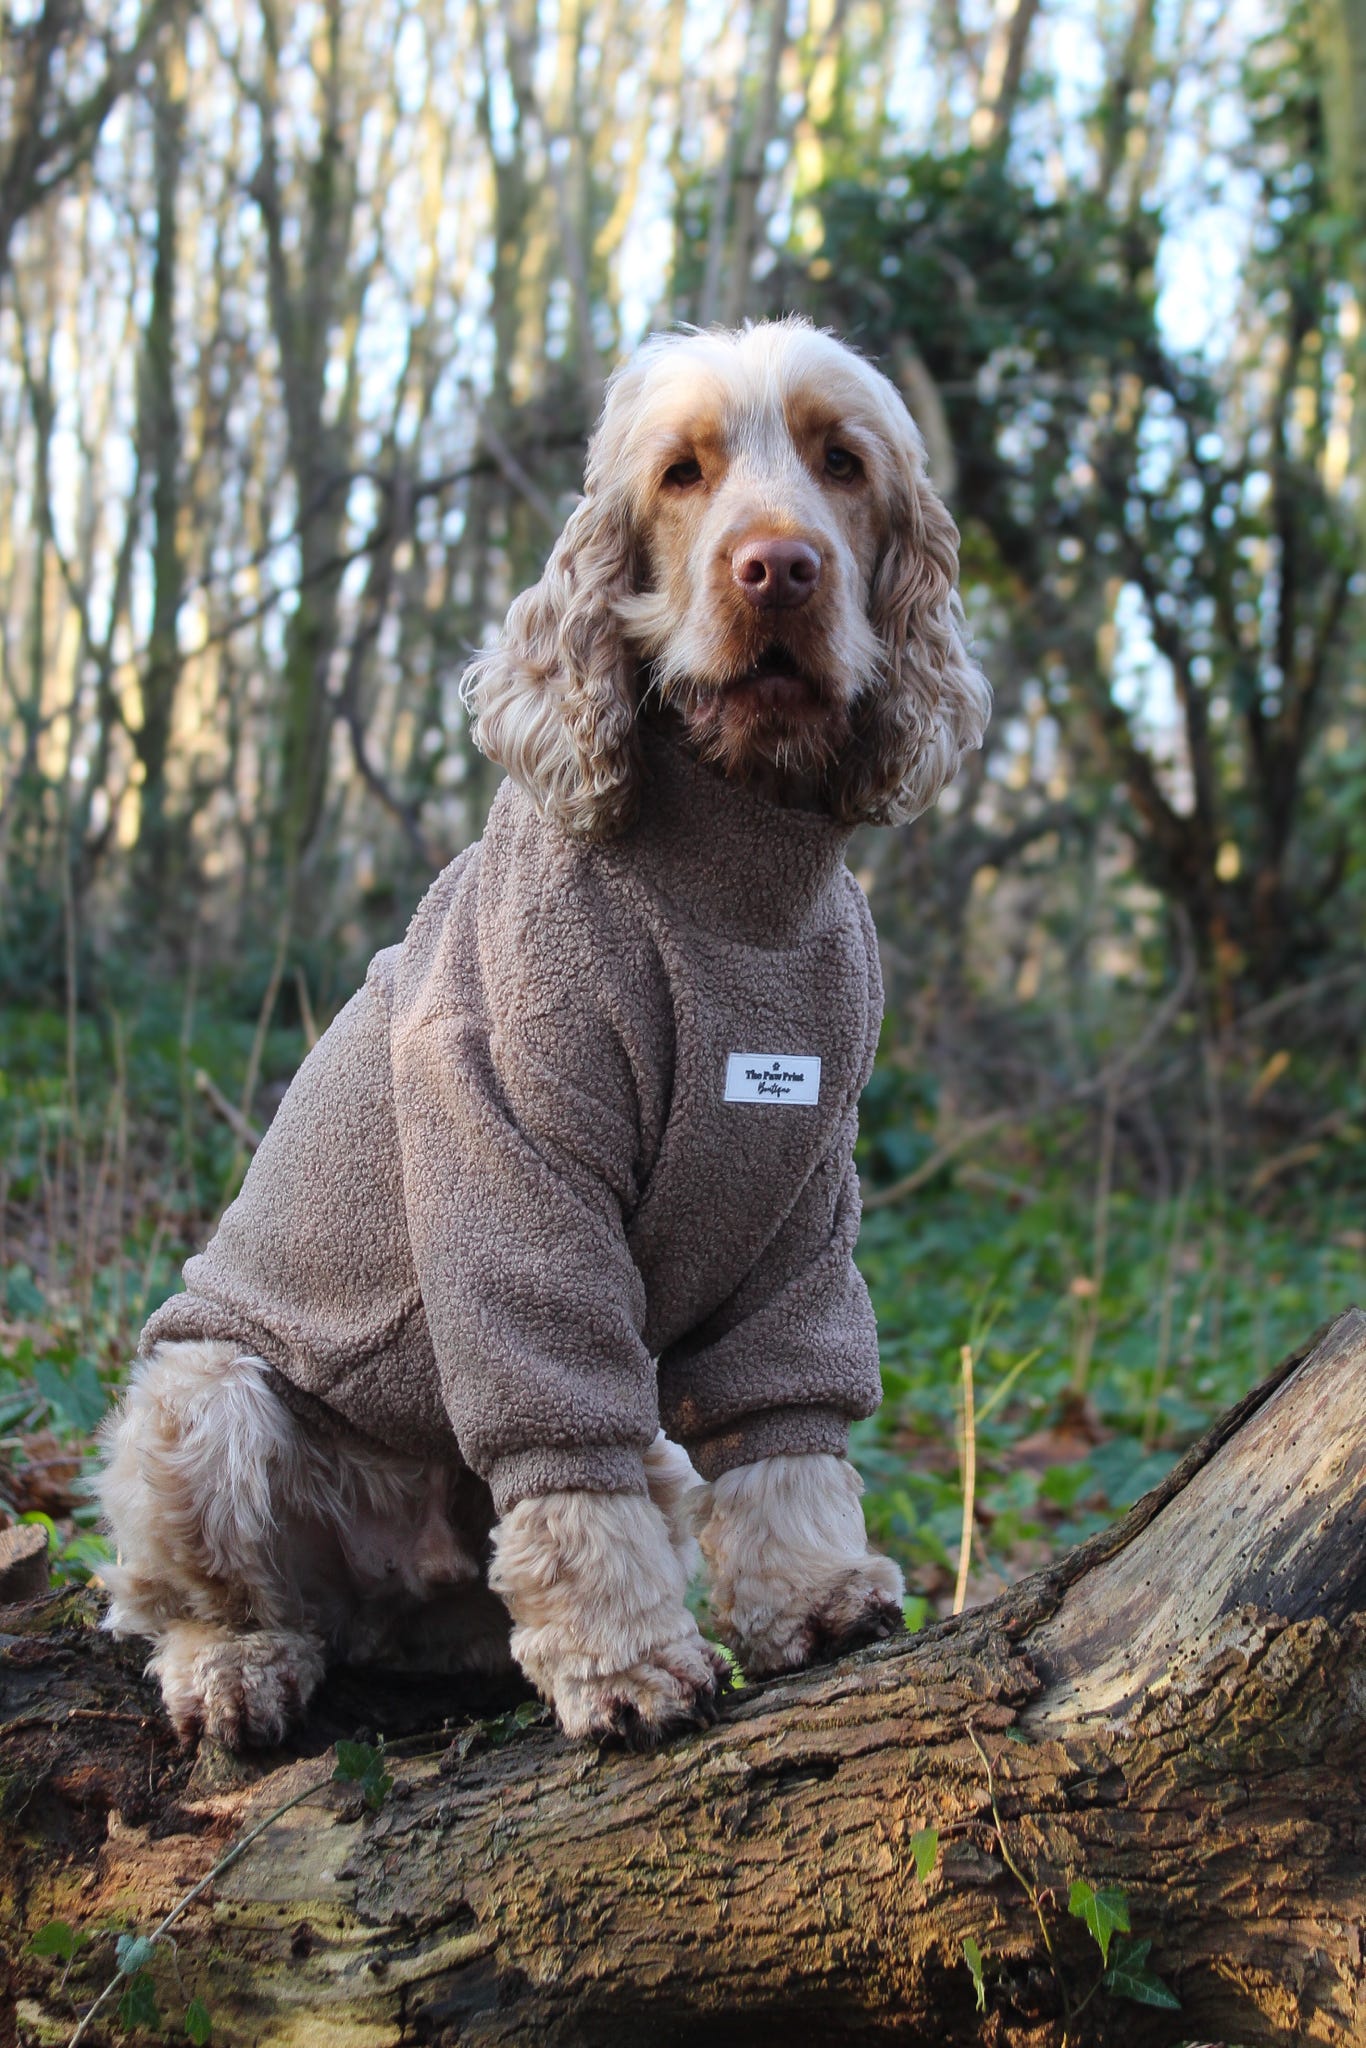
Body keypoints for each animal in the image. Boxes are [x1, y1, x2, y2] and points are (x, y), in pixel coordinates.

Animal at [98, 319, 995, 1744]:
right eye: (682, 473)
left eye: (841, 462)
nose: (779, 567)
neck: (733, 878)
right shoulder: (516, 1154)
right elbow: (565, 1452)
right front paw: (627, 1663)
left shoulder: (803, 1190)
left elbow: (784, 1414)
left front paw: (813, 1592)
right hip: (200, 1400)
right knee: (194, 1595)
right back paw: (236, 1669)